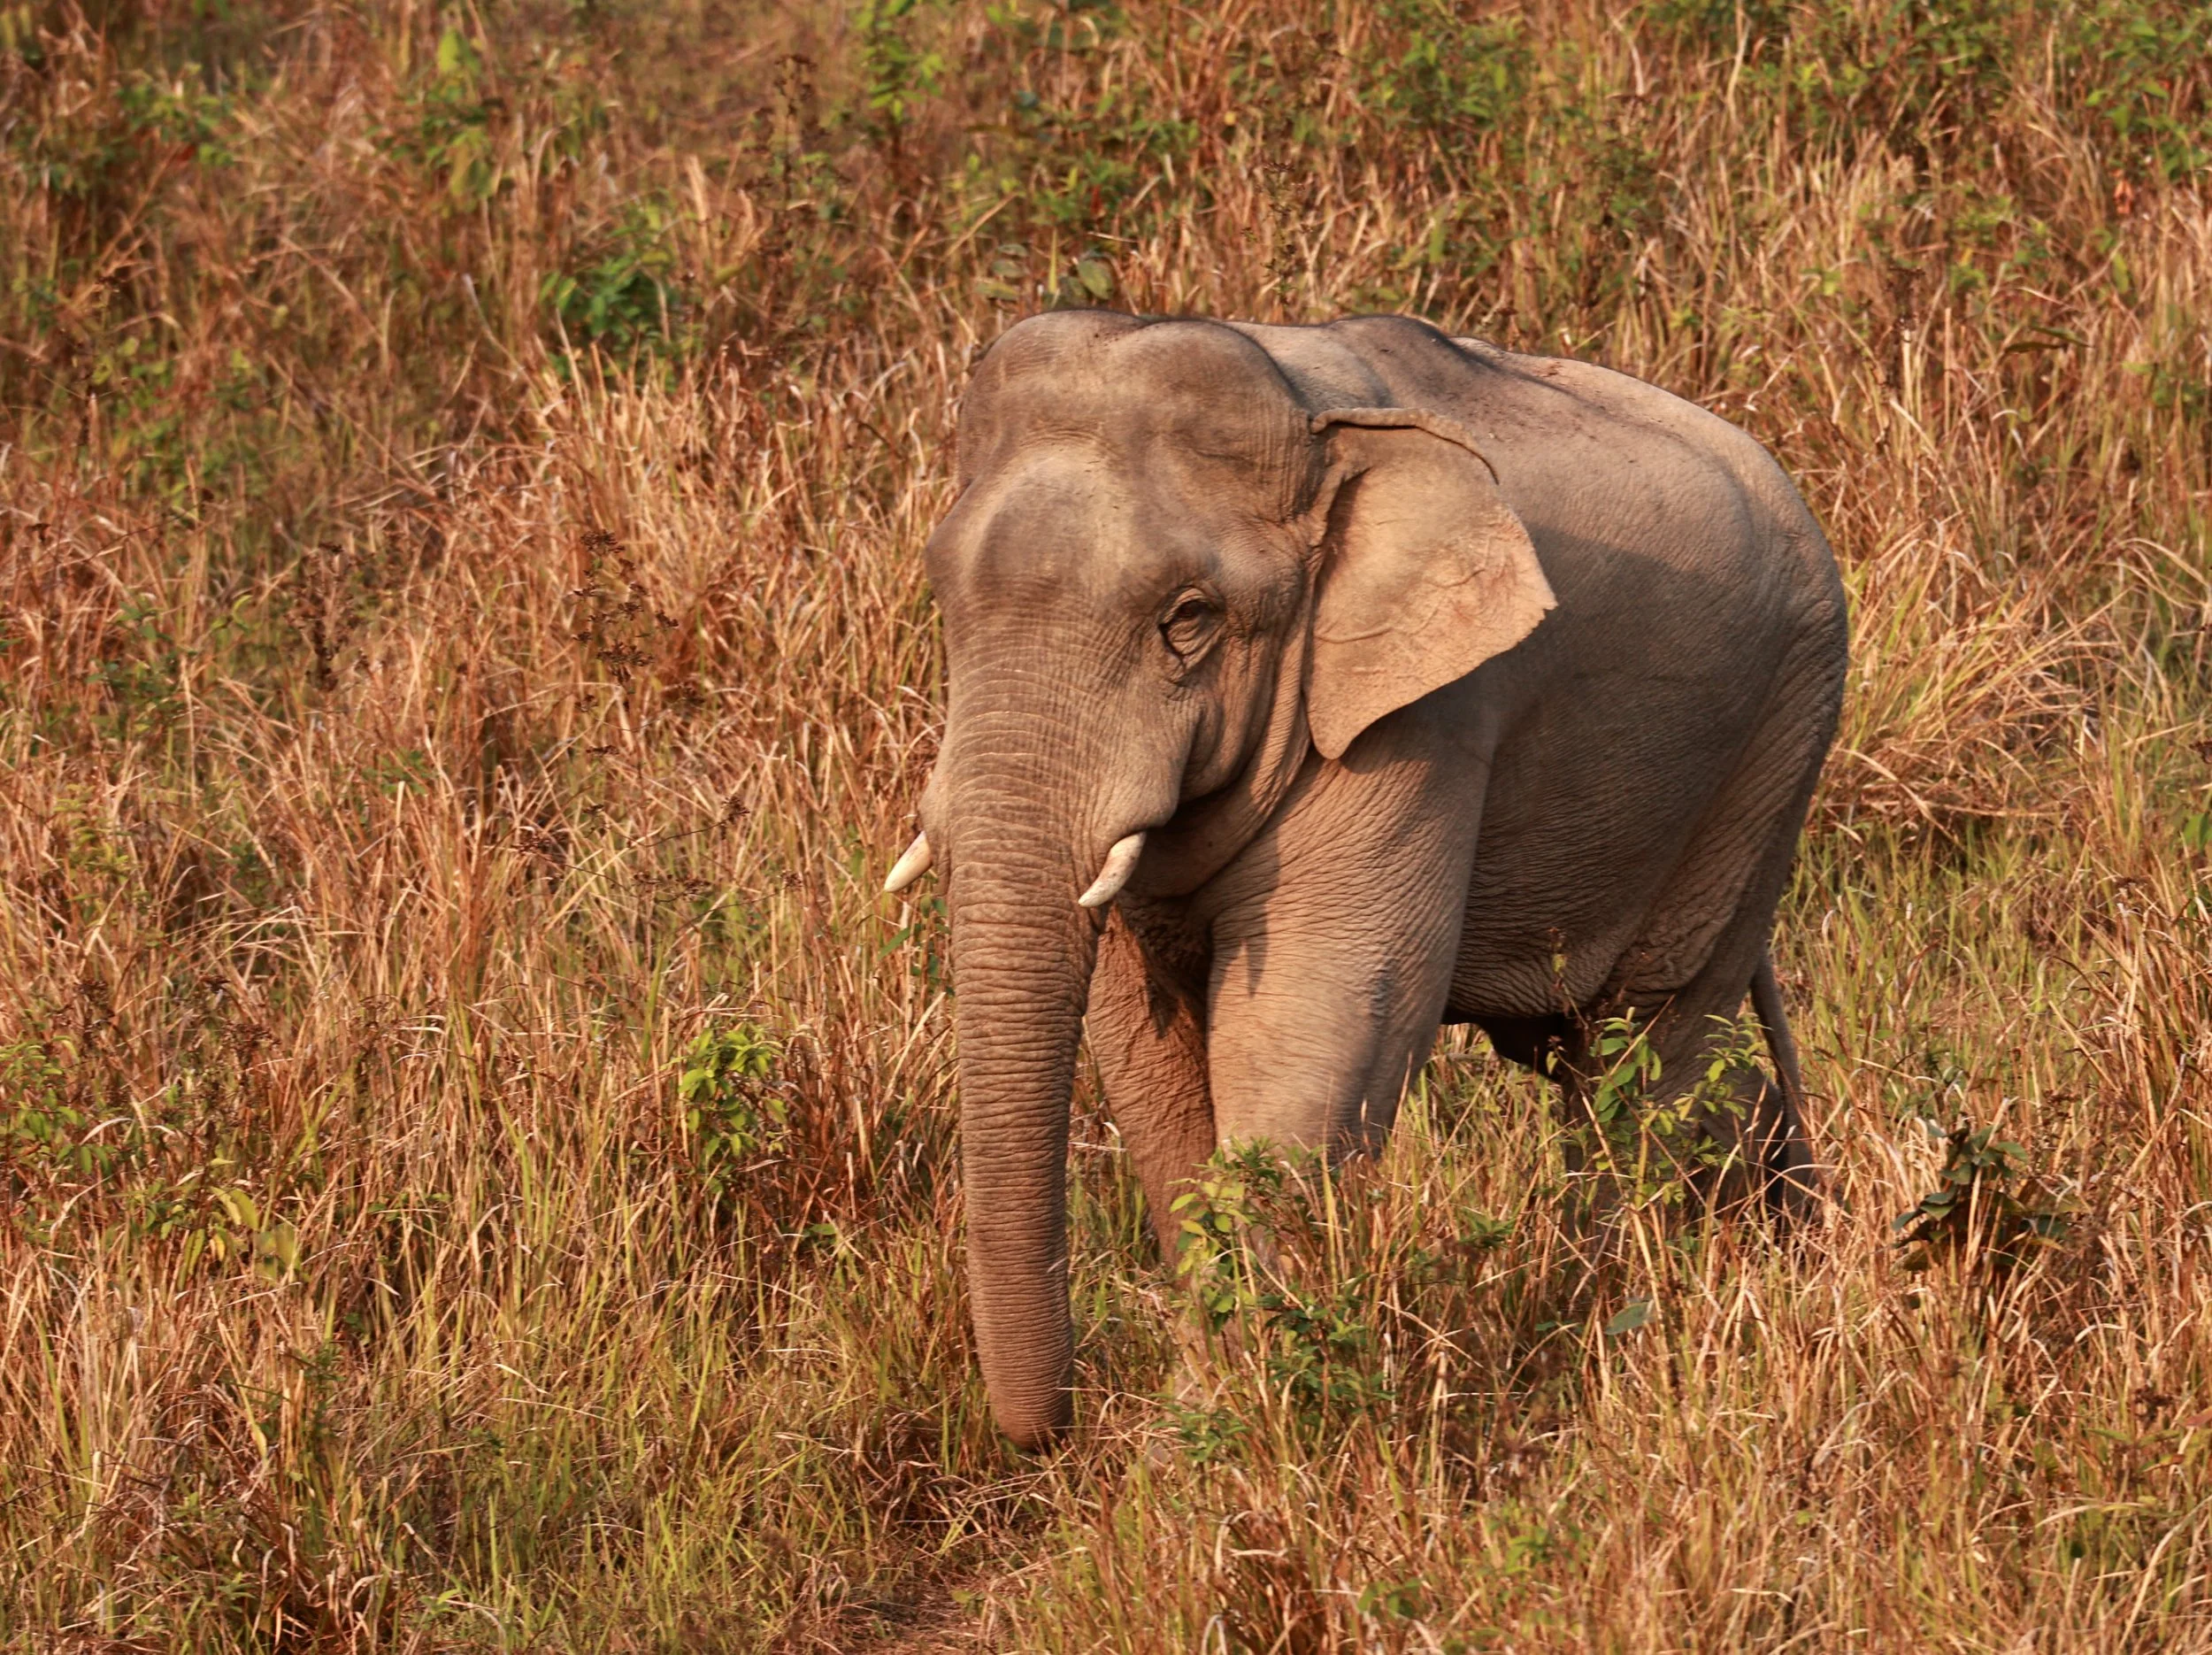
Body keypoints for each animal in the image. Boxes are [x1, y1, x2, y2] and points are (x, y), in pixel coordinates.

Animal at [882, 309, 1848, 1448]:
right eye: (944, 597)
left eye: (1189, 618)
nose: (1051, 1434)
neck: (1309, 423)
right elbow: (1141, 1038)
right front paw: (1205, 1410)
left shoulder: (1425, 709)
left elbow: (1310, 1025)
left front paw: (1216, 1426)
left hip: (1777, 741)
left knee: (1648, 1046)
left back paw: (1620, 1317)